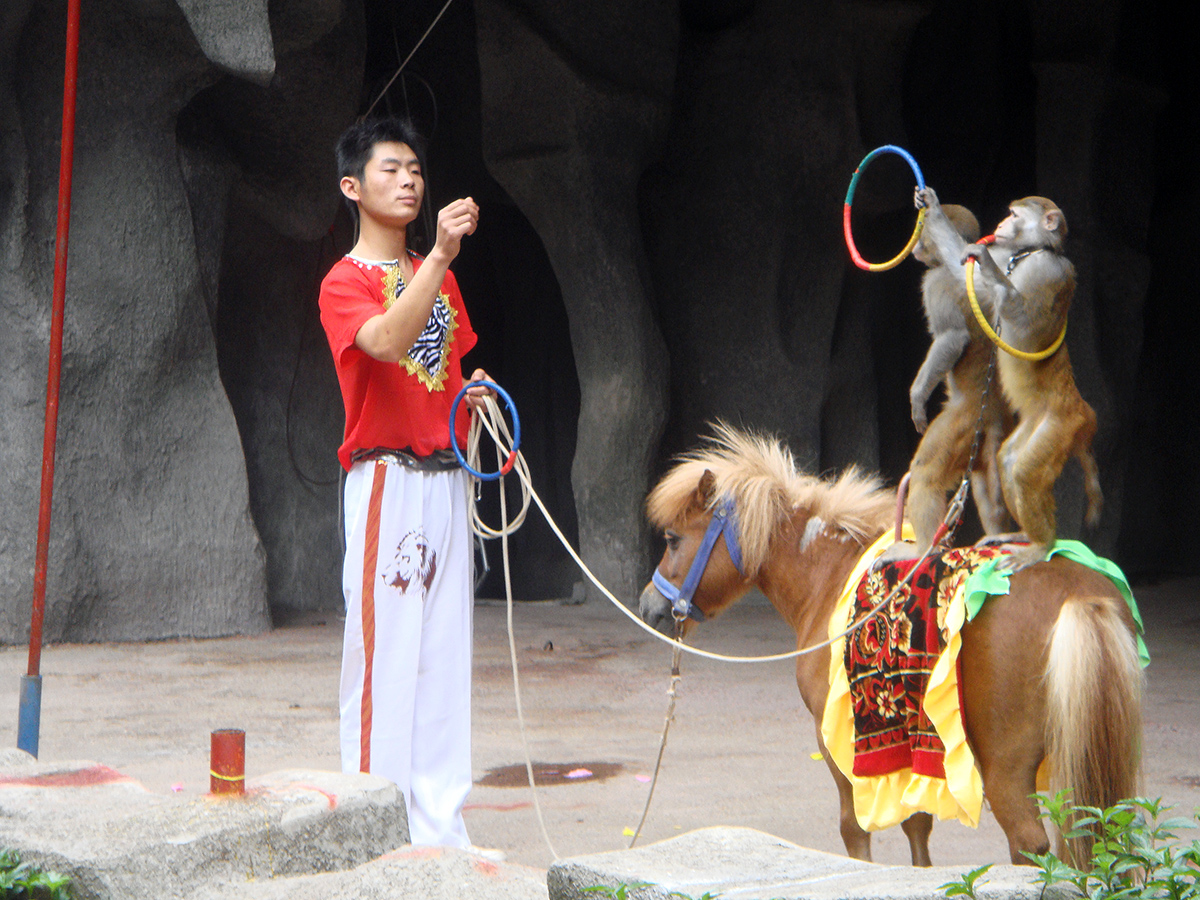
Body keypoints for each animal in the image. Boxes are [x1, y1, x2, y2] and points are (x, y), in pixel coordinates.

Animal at [643, 427, 1137, 868]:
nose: (651, 606)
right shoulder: (908, 737)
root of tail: (1080, 597)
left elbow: (855, 828)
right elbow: (917, 823)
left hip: (1010, 770)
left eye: (672, 539)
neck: (829, 575)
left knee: (1029, 845)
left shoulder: (837, 742)